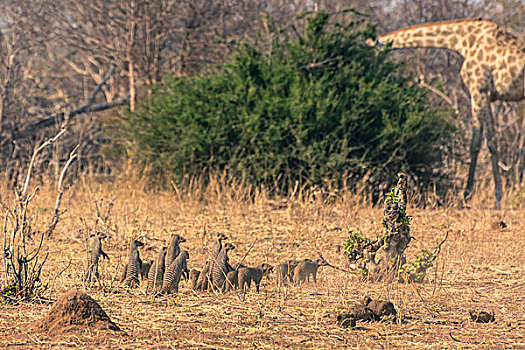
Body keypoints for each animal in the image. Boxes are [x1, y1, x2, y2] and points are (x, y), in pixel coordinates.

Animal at [370, 17, 520, 206]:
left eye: (370, 50)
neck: (464, 41)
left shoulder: (481, 91)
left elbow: (492, 142)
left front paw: (497, 199)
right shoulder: (477, 95)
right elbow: (475, 143)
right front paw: (466, 196)